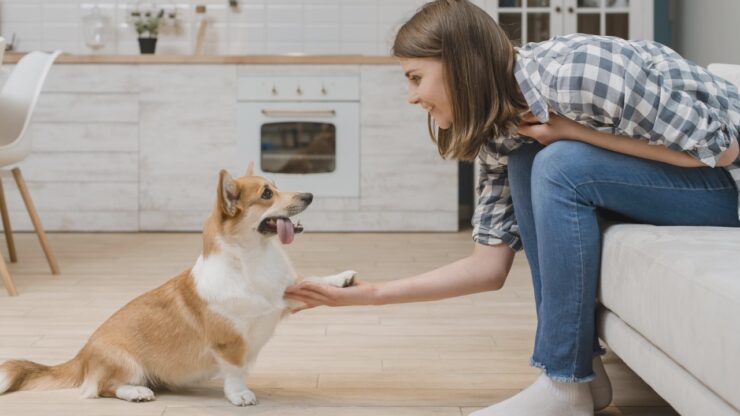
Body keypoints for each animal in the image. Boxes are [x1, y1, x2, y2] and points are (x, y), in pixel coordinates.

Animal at [0, 163, 356, 406]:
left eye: (277, 187)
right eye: (267, 194)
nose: (310, 195)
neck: (253, 258)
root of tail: (81, 354)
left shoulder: (283, 297)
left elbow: (312, 280)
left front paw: (342, 278)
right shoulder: (229, 342)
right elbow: (235, 370)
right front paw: (240, 395)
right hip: (125, 362)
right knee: (102, 388)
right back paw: (137, 392)